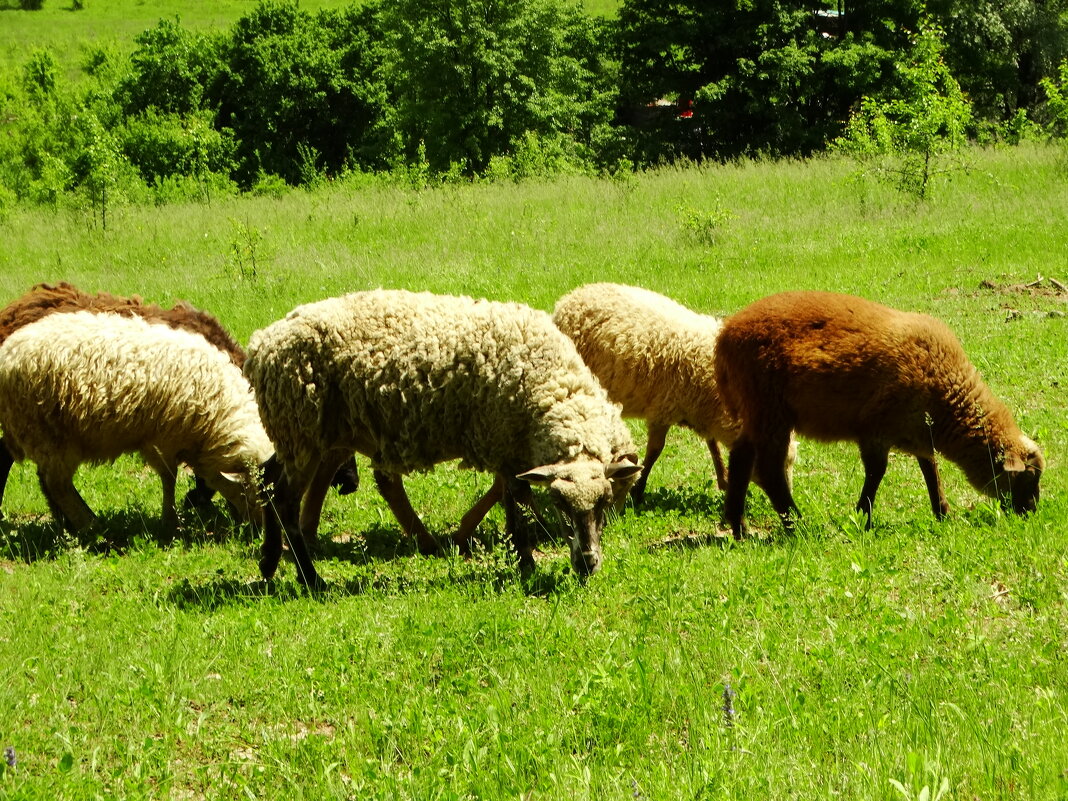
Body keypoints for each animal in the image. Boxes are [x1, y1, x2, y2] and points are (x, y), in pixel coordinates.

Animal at [0, 309, 273, 536]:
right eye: (255, 497)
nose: (260, 530)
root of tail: (8, 353)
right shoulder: (161, 439)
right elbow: (169, 478)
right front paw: (170, 521)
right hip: (49, 434)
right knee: (57, 485)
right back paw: (91, 527)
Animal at [244, 290, 640, 589]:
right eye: (559, 504)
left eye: (605, 502)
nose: (587, 563)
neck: (552, 387)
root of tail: (261, 345)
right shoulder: (502, 440)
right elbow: (516, 501)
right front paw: (525, 559)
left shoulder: (509, 448)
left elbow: (513, 499)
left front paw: (521, 557)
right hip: (301, 428)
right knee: (284, 500)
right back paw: (311, 579)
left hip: (298, 435)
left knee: (267, 478)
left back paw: (269, 560)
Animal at [551, 286, 794, 504]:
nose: (787, 499)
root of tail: (571, 296)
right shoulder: (663, 410)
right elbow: (655, 451)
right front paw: (638, 491)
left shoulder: (700, 408)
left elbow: (711, 442)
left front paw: (724, 480)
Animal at [709, 290, 1042, 540]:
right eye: (1027, 478)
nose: (1032, 512)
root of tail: (724, 338)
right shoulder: (876, 431)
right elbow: (877, 473)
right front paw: (863, 517)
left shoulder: (918, 431)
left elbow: (930, 469)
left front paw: (943, 512)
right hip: (769, 409)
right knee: (769, 470)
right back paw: (797, 525)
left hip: (755, 410)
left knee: (741, 458)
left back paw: (740, 527)